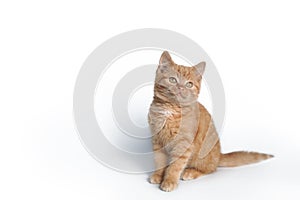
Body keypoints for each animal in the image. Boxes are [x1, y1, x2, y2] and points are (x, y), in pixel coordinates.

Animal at [146, 50, 274, 191]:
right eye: (173, 80)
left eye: (189, 84)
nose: (180, 88)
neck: (170, 110)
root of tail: (219, 156)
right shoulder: (157, 140)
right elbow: (159, 161)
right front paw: (158, 175)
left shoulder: (183, 143)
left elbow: (176, 165)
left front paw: (169, 181)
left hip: (202, 156)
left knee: (210, 169)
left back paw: (190, 172)